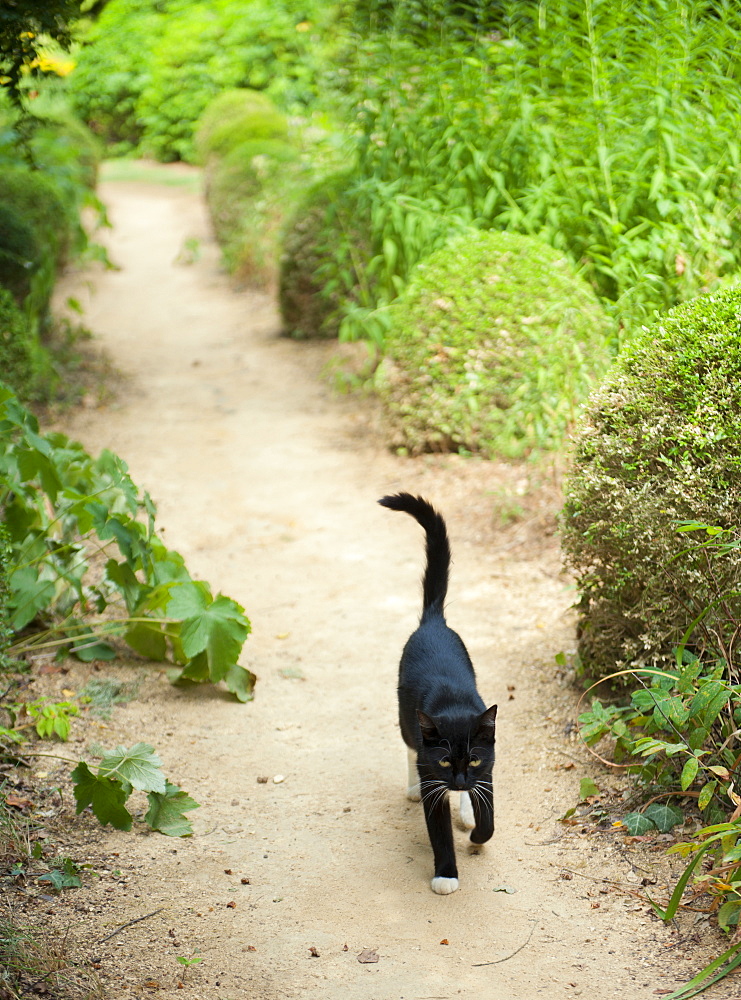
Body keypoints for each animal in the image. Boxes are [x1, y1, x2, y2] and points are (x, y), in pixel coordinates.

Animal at [378, 496, 494, 896]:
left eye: (473, 759)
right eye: (444, 761)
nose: (458, 781)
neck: (453, 703)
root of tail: (433, 621)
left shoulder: (487, 768)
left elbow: (488, 816)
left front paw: (477, 832)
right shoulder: (434, 774)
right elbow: (438, 830)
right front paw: (446, 875)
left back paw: (467, 811)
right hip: (404, 716)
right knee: (409, 744)